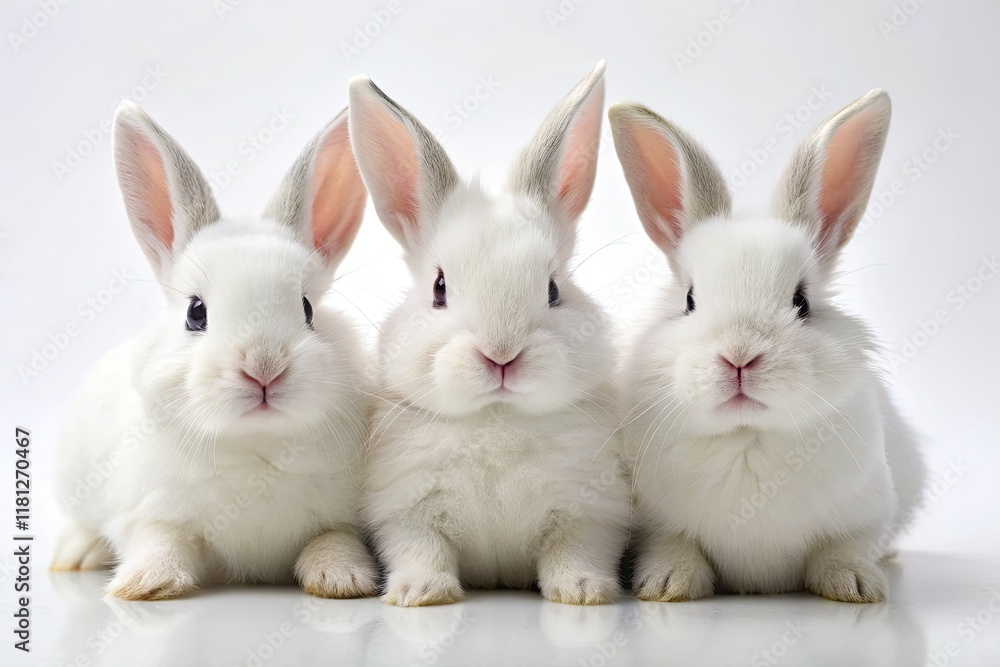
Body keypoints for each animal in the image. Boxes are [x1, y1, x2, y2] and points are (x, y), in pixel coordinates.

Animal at [50, 101, 379, 601]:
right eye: (195, 312)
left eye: (307, 309)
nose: (263, 368)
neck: (255, 445)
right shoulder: (150, 512)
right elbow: (160, 540)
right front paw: (145, 583)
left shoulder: (343, 517)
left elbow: (333, 538)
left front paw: (342, 579)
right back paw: (76, 554)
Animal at [348, 61, 633, 607]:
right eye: (438, 287)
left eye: (553, 289)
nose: (501, 356)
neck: (497, 419)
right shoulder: (407, 510)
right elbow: (421, 548)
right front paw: (420, 593)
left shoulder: (589, 511)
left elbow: (575, 548)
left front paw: (583, 591)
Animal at [608, 89, 926, 603]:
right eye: (690, 300)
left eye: (802, 301)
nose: (740, 357)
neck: (747, 437)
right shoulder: (658, 524)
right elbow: (673, 545)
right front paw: (667, 582)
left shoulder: (865, 513)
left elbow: (844, 547)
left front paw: (856, 585)